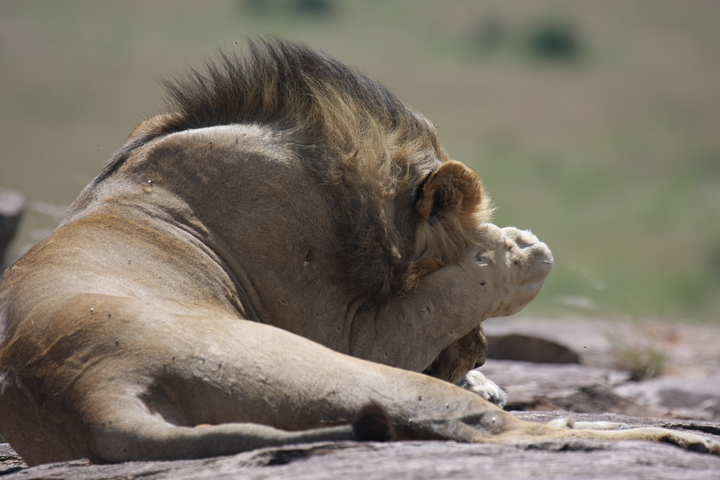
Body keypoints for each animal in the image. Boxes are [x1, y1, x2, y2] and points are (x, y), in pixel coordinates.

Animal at [0, 40, 717, 466]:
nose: (483, 352)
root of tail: (94, 393)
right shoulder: (347, 333)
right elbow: (443, 298)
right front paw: (515, 252)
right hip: (330, 369)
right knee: (493, 431)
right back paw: (677, 438)